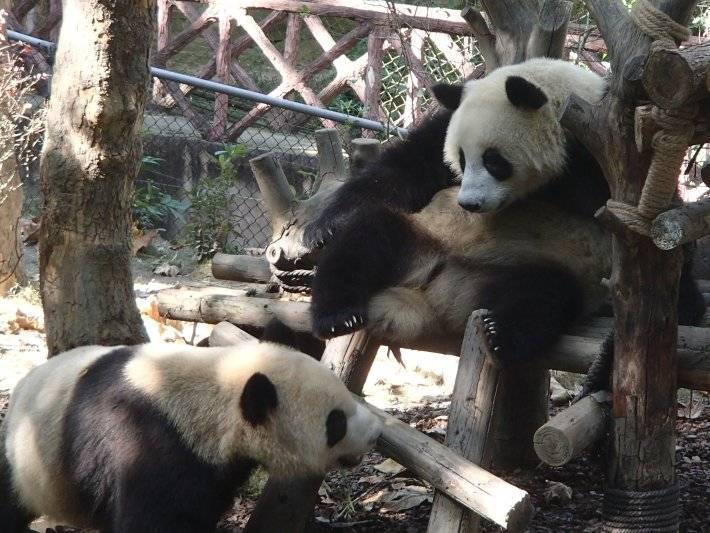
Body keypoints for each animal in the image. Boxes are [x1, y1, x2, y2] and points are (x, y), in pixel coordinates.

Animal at [298, 57, 708, 366]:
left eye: (494, 161)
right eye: (461, 158)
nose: (468, 204)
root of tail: (432, 294)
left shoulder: (604, 152)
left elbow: (650, 227)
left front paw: (683, 300)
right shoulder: (441, 130)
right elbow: (400, 172)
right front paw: (322, 228)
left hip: (537, 271)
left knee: (542, 296)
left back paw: (501, 332)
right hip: (421, 235)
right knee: (368, 237)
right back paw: (338, 314)